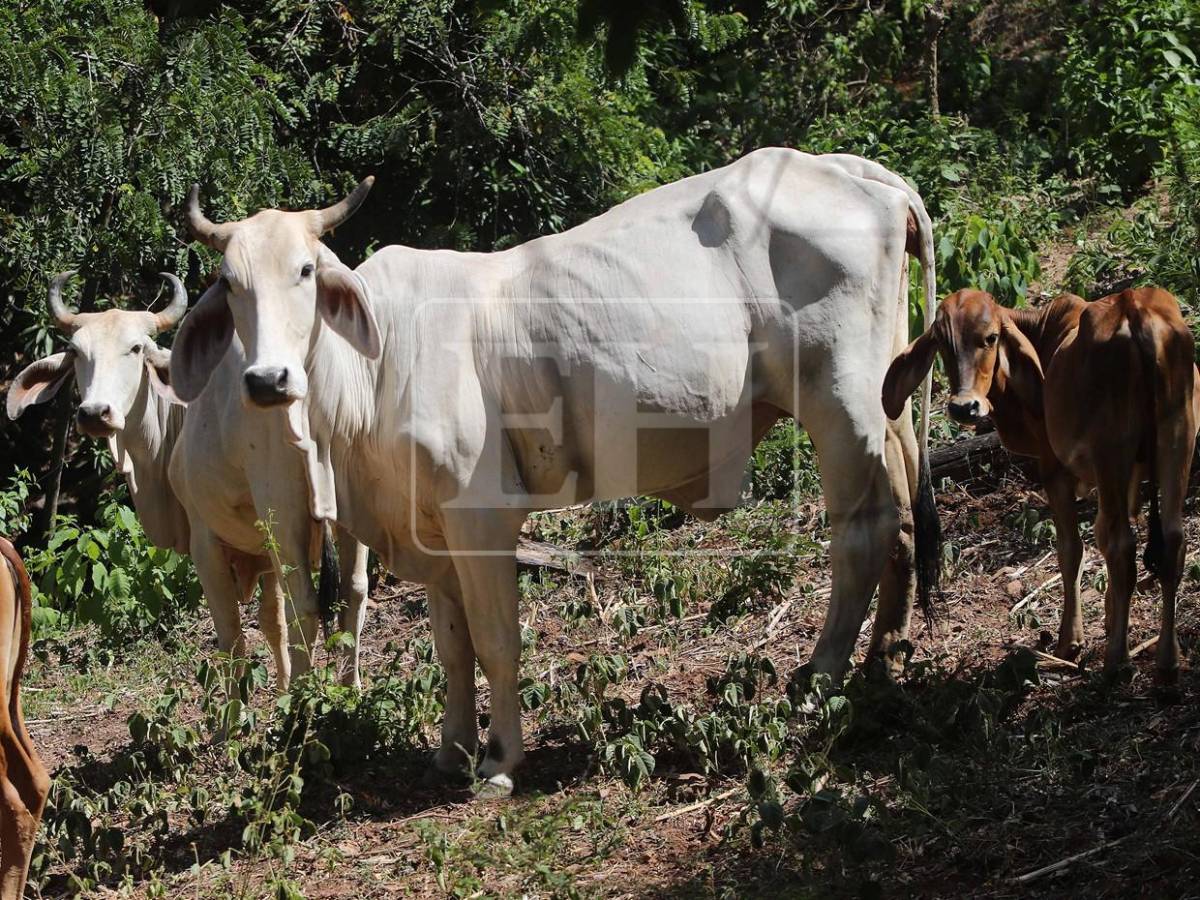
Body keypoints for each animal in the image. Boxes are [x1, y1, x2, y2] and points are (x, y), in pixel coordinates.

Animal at [6, 274, 371, 691]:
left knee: (306, 606)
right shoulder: (263, 552)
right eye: (77, 352)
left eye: (136, 348)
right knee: (354, 591)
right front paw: (279, 688)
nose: (95, 413)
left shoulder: (206, 541)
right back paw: (350, 689)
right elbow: (271, 622)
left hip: (282, 515)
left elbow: (231, 636)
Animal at [171, 147, 941, 796]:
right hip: (887, 404)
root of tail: (859, 173)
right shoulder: (429, 532)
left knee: (862, 534)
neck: (375, 366)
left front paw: (499, 761)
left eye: (305, 271)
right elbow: (452, 648)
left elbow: (496, 642)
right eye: (229, 283)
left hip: (840, 404)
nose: (267, 380)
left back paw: (820, 677)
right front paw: (451, 749)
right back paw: (885, 654)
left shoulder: (480, 516)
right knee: (903, 518)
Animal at [884, 287, 1199, 681]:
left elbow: (1073, 550)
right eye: (942, 342)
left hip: (1112, 452)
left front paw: (1071, 642)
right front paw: (1112, 619)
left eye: (991, 338)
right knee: (1171, 541)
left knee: (1123, 547)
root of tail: (1134, 307)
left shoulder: (1055, 470)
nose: (963, 407)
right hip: (1177, 442)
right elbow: (1102, 536)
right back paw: (1168, 660)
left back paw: (1117, 661)